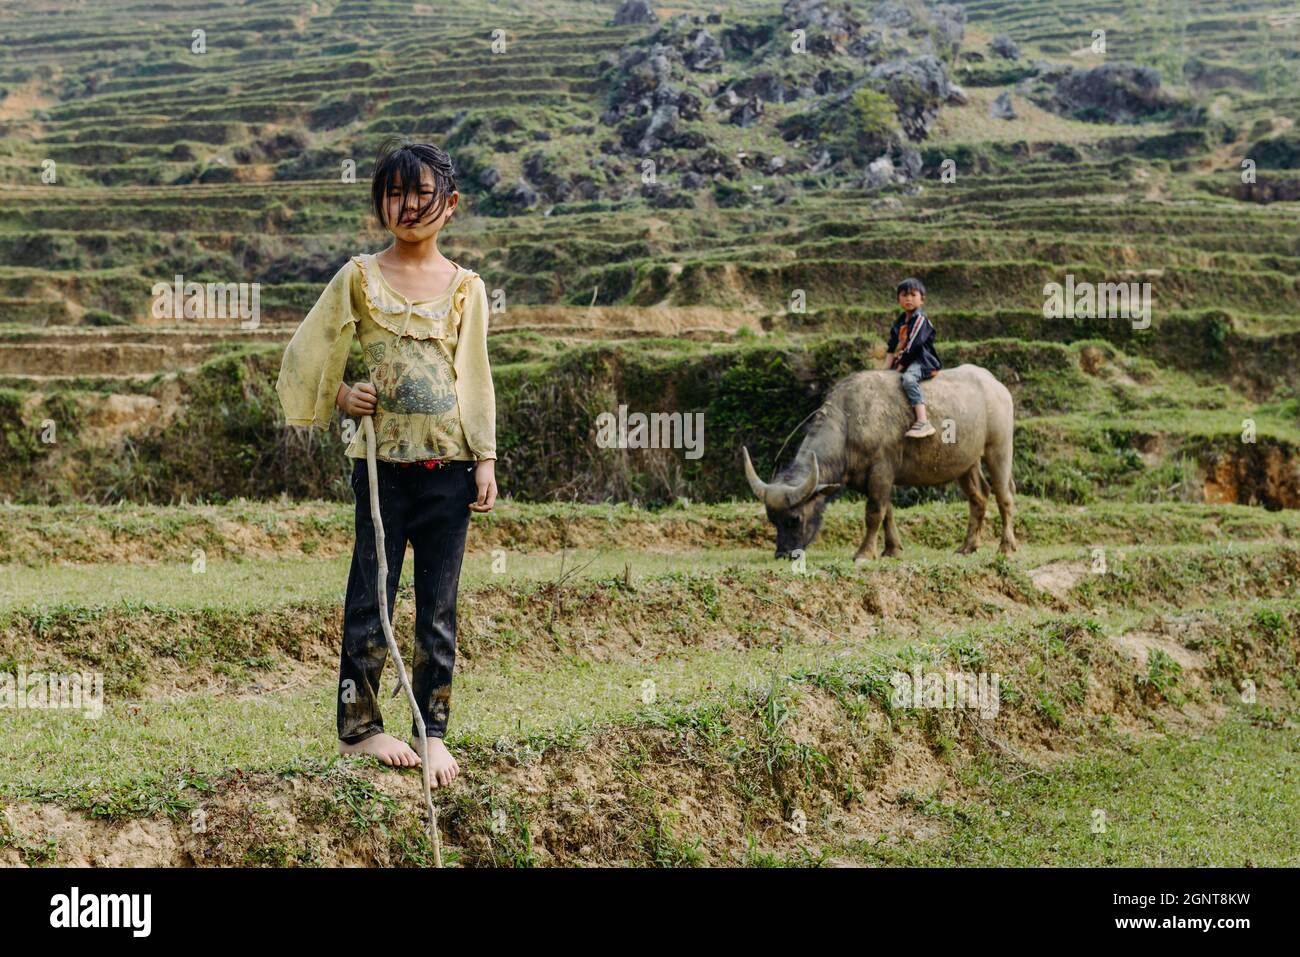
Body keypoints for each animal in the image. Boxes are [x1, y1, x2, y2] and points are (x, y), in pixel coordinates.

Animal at [743, 364, 1013, 561]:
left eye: (795, 519)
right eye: (772, 519)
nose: (783, 554)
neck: (849, 424)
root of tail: (996, 386)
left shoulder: (881, 470)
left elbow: (874, 513)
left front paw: (864, 554)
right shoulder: (874, 478)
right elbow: (887, 512)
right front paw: (891, 550)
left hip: (999, 449)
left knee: (1004, 496)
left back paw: (1006, 548)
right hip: (967, 462)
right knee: (979, 496)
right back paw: (968, 547)